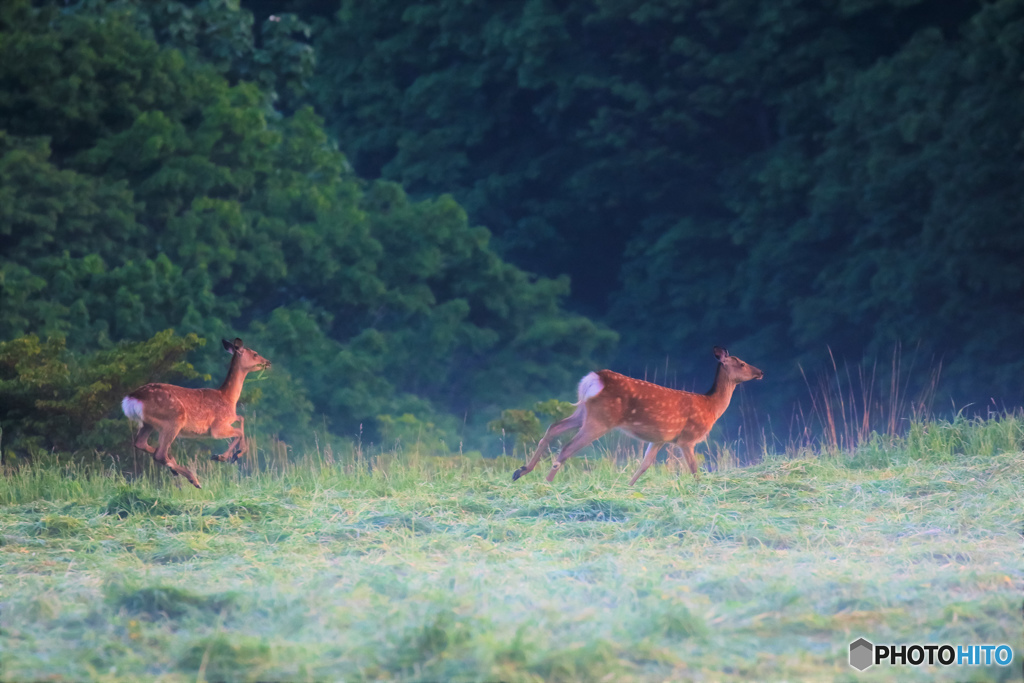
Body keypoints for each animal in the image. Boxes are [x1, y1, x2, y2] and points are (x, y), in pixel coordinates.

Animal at [119, 337, 270, 489]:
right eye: (255, 354)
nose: (268, 362)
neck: (228, 398)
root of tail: (131, 398)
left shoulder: (229, 418)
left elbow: (241, 419)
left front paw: (231, 455)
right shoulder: (217, 427)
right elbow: (239, 431)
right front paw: (227, 456)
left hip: (148, 423)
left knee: (141, 444)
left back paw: (175, 467)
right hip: (173, 419)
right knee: (159, 453)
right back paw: (194, 480)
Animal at [509, 348, 761, 485]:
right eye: (741, 363)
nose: (760, 372)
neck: (711, 406)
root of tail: (595, 378)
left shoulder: (659, 439)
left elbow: (644, 466)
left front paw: (628, 488)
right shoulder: (687, 438)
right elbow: (694, 469)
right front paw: (701, 489)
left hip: (583, 412)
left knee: (554, 427)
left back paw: (521, 471)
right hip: (601, 419)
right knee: (567, 446)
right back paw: (547, 484)